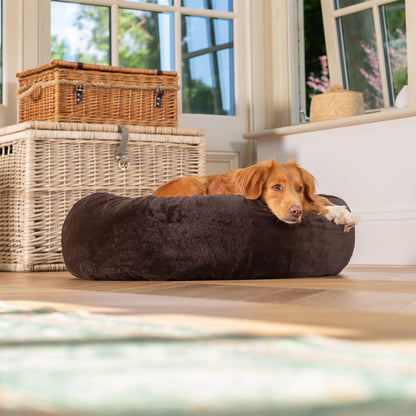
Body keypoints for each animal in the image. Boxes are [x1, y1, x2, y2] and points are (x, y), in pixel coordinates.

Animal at [154, 158, 358, 232]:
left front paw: (341, 210)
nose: (295, 211)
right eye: (276, 187)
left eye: (300, 189)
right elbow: (314, 205)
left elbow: (317, 199)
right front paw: (337, 213)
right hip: (193, 181)